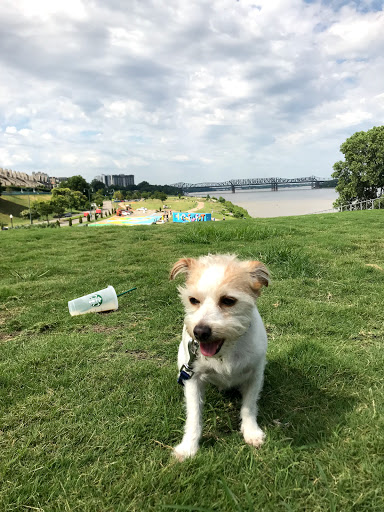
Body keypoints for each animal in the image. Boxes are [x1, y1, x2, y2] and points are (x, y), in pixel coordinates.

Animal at [170, 255, 268, 460]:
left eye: (229, 301)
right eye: (193, 300)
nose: (200, 332)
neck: (227, 350)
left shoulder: (255, 374)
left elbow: (249, 406)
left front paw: (251, 431)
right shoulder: (193, 379)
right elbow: (194, 414)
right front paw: (188, 447)